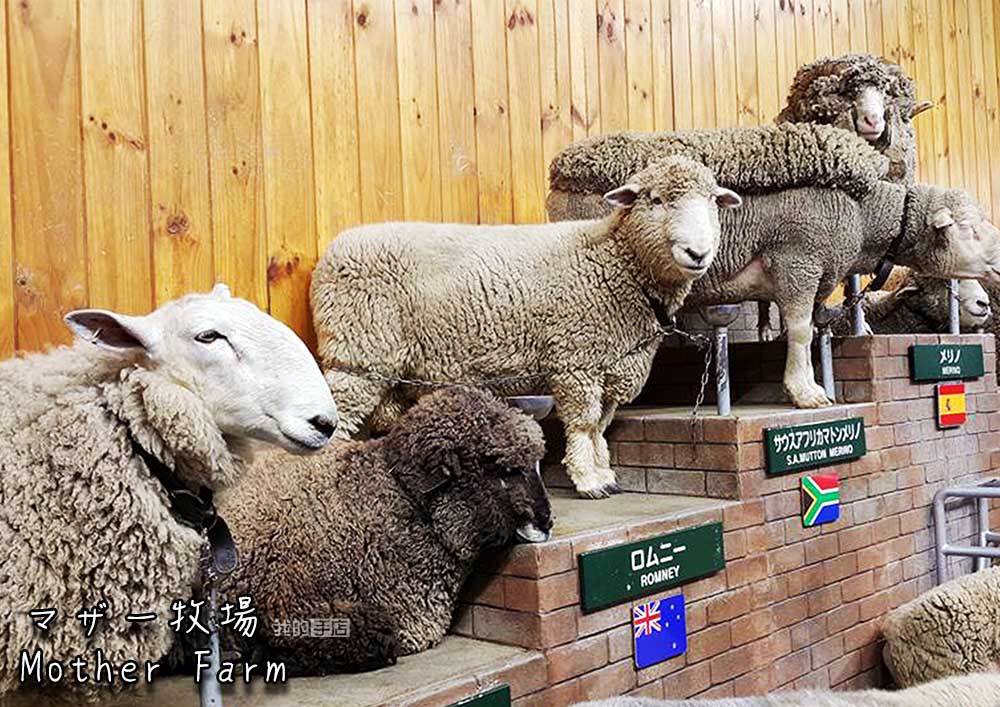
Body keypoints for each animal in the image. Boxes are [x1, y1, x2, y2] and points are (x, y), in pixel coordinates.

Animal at [311, 155, 741, 498]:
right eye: (656, 200)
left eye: (711, 201)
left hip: (390, 366)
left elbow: (602, 425)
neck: (616, 261)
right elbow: (584, 423)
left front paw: (604, 472)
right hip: (357, 352)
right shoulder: (576, 361)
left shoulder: (611, 363)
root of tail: (334, 250)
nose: (698, 253)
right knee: (338, 418)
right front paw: (588, 481)